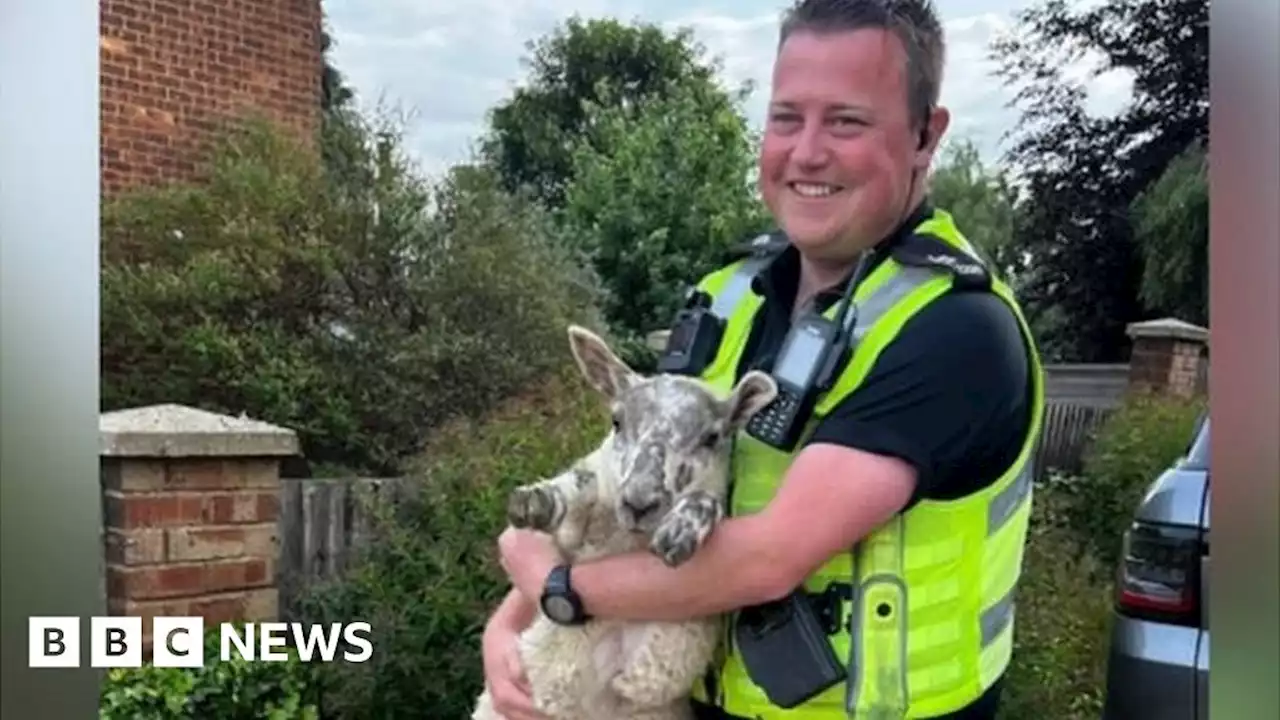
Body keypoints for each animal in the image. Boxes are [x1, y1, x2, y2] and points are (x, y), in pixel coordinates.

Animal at [476, 324, 778, 717]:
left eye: (712, 437)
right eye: (616, 422)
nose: (639, 503)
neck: (626, 541)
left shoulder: (672, 642)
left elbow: (705, 502)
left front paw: (680, 531)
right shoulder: (576, 530)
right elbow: (579, 483)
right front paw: (536, 501)